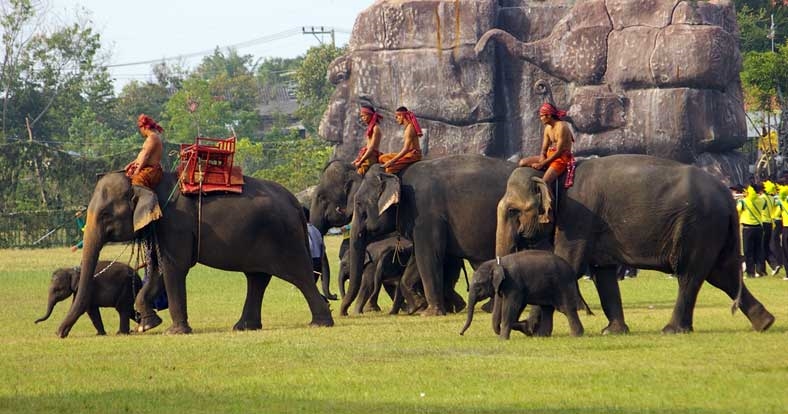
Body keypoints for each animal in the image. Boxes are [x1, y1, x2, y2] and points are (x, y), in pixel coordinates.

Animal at [55, 171, 333, 338]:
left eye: (105, 215)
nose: (59, 333)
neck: (146, 182)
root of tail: (296, 203)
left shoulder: (174, 224)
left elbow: (173, 268)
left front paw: (174, 332)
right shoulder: (161, 228)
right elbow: (157, 270)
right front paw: (148, 324)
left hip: (284, 237)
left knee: (299, 275)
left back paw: (320, 323)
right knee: (256, 278)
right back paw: (243, 327)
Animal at [345, 154, 517, 317]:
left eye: (358, 203)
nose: (344, 313)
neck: (395, 173)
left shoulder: (425, 215)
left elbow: (427, 255)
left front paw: (429, 313)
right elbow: (416, 258)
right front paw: (418, 306)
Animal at [460, 251, 591, 340]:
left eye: (478, 286)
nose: (460, 333)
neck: (497, 263)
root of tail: (572, 271)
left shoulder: (514, 283)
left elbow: (512, 306)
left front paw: (502, 339)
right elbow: (516, 305)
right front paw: (525, 328)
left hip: (563, 285)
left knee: (566, 309)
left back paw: (576, 335)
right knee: (547, 309)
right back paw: (541, 336)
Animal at [496, 155, 775, 335]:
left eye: (512, 210)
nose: (518, 326)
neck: (556, 173)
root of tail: (728, 196)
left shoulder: (578, 218)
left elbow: (567, 264)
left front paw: (534, 330)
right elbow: (603, 273)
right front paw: (613, 332)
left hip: (699, 227)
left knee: (691, 275)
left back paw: (672, 330)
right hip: (713, 231)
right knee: (722, 274)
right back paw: (765, 323)